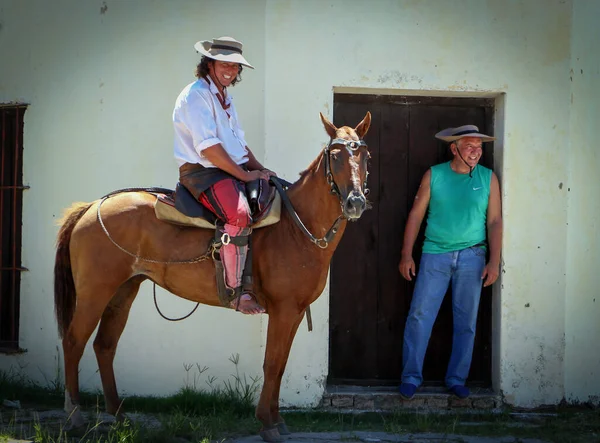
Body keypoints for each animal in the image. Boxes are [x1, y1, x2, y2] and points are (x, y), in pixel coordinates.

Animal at [54, 110, 370, 440]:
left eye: (365, 156)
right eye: (335, 156)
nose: (355, 202)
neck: (295, 226)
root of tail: (91, 207)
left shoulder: (294, 313)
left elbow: (281, 364)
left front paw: (276, 419)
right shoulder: (283, 311)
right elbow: (272, 364)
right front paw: (267, 423)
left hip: (123, 291)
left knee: (104, 345)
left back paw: (118, 413)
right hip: (94, 292)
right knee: (73, 342)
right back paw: (75, 416)